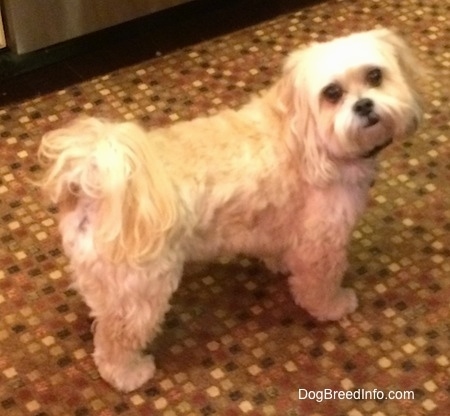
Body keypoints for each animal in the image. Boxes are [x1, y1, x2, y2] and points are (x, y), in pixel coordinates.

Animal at [37, 28, 422, 390]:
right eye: (332, 93)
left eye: (375, 75)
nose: (365, 106)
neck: (305, 135)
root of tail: (94, 179)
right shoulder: (323, 242)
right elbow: (319, 284)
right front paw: (333, 306)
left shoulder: (281, 226)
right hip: (139, 293)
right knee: (115, 341)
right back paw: (129, 374)